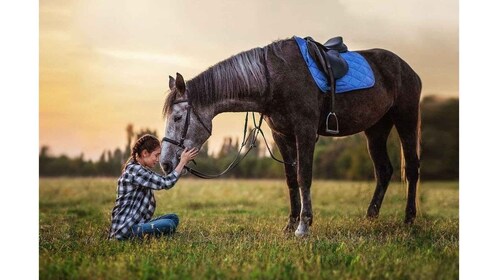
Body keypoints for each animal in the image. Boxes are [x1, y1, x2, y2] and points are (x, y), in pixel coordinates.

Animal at [160, 37, 420, 237]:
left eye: (177, 118)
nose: (165, 163)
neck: (272, 78)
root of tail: (407, 68)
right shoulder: (282, 135)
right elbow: (291, 180)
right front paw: (291, 223)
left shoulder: (304, 131)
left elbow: (303, 176)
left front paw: (303, 226)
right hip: (376, 130)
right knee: (384, 171)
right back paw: (370, 217)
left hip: (406, 120)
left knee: (412, 169)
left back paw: (409, 219)